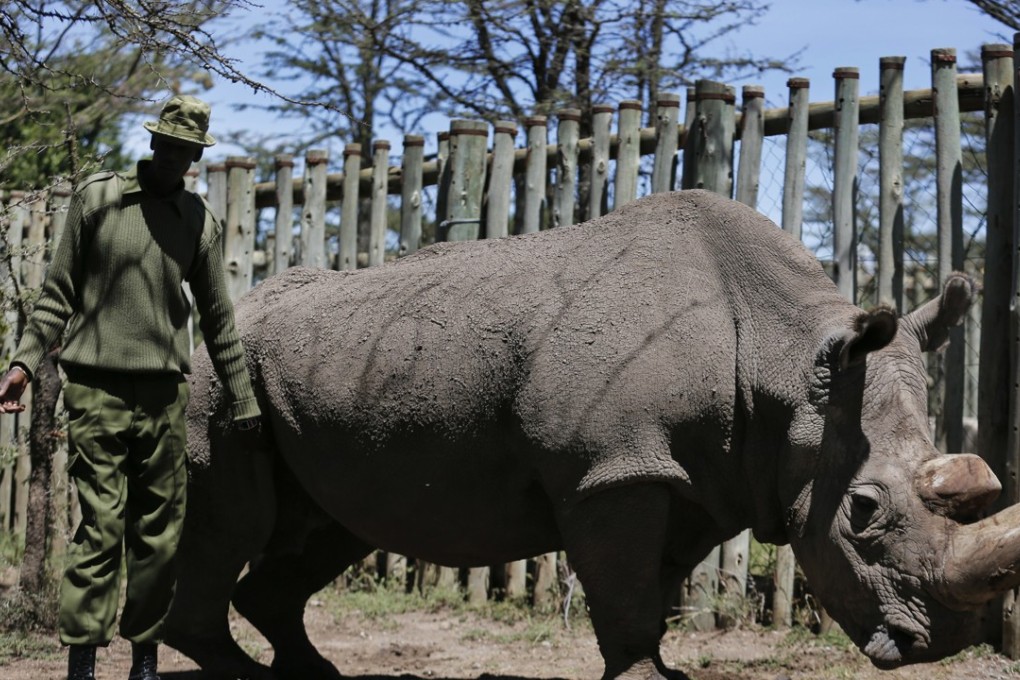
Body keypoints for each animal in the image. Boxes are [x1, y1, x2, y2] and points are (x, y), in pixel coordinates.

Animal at [165, 189, 1019, 679]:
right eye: (864, 513)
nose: (945, 641)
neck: (783, 356)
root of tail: (241, 303)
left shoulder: (694, 478)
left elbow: (649, 594)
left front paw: (658, 675)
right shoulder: (613, 471)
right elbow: (628, 595)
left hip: (330, 371)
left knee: (334, 525)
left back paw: (312, 676)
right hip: (222, 373)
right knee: (234, 519)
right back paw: (244, 676)